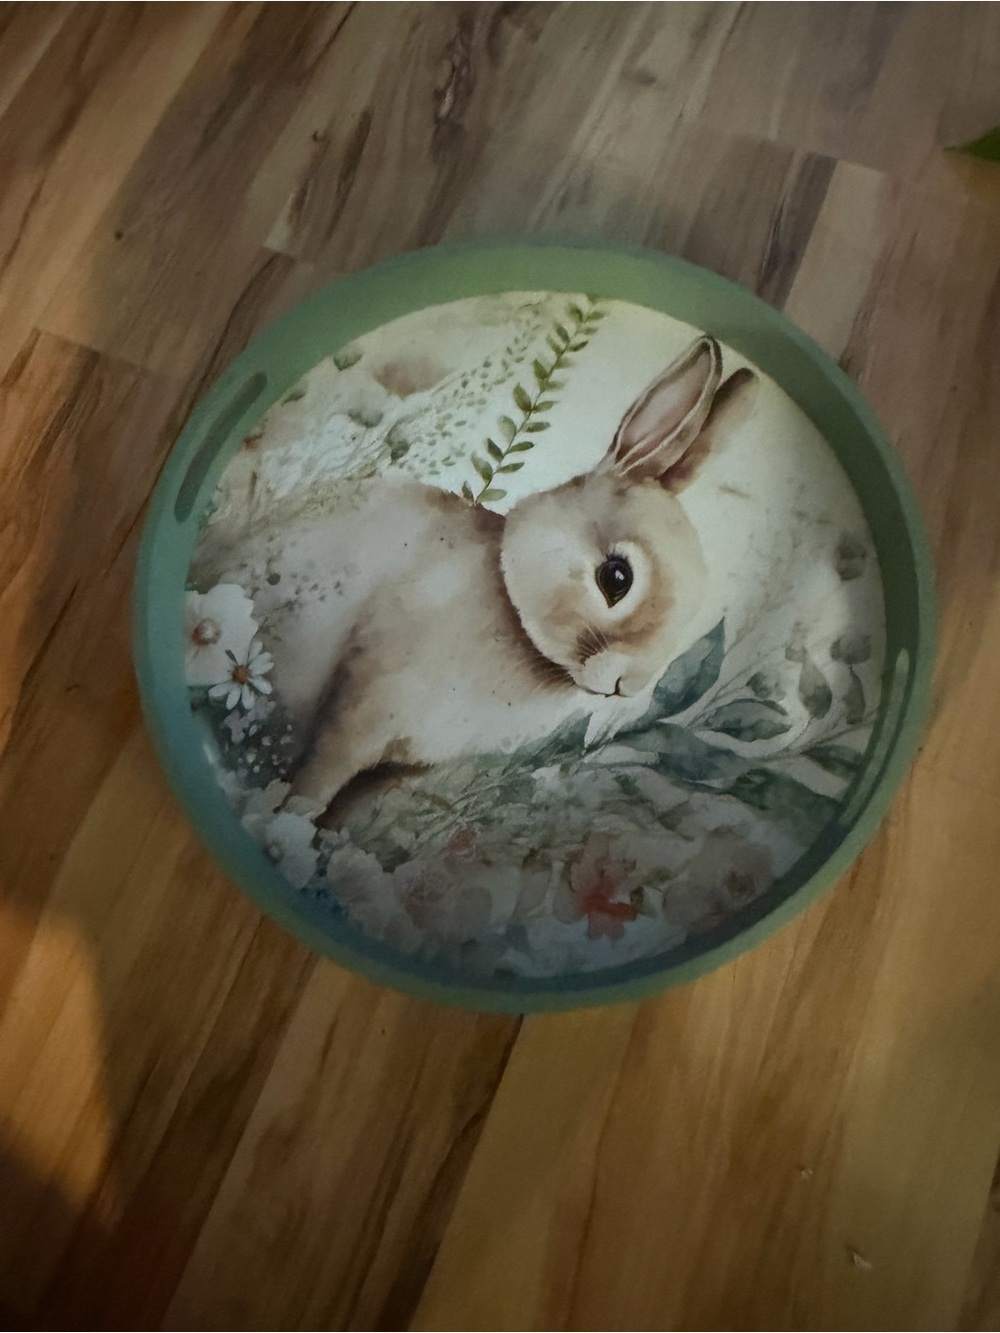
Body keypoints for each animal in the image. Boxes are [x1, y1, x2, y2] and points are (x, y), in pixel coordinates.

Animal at [254, 335, 755, 816]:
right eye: (617, 578)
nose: (625, 687)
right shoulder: (359, 708)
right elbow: (317, 780)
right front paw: (287, 826)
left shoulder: (400, 766)